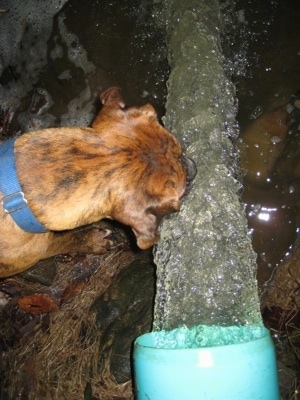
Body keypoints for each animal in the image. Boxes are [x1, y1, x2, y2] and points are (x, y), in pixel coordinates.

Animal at [0, 86, 196, 276]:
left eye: (180, 151)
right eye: (182, 186)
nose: (192, 167)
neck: (16, 195)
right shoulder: (36, 250)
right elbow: (56, 244)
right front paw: (90, 241)